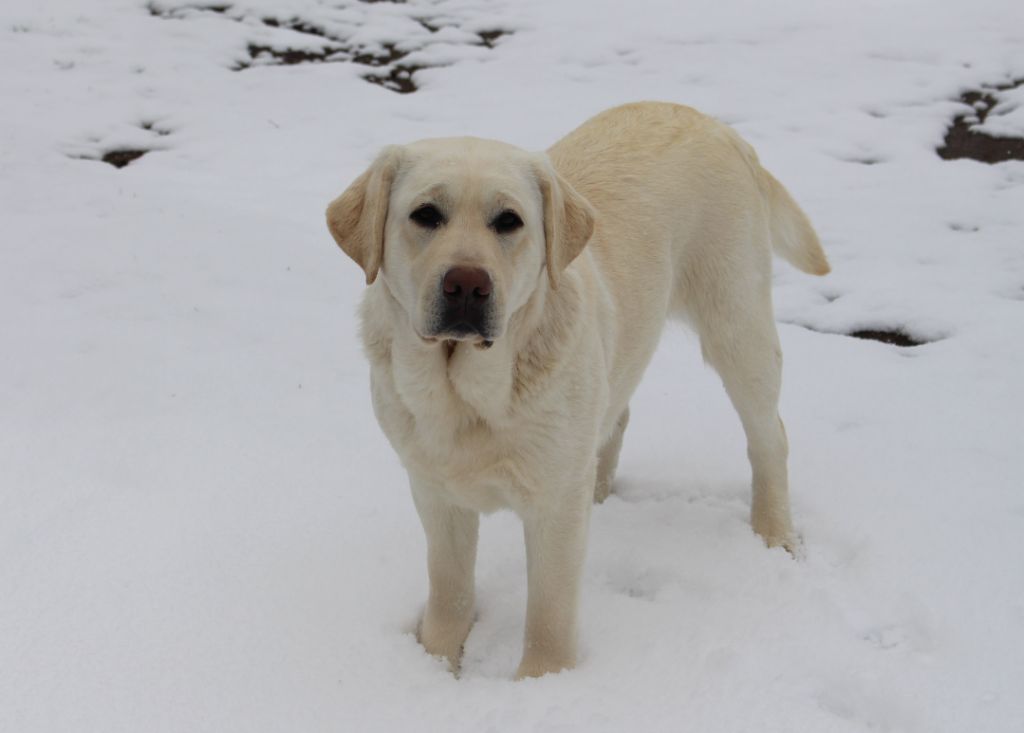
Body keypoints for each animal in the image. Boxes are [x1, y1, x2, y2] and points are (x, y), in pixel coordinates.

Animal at [327, 100, 831, 679]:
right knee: (617, 418)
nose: (467, 285)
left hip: (737, 327)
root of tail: (709, 121)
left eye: (509, 221)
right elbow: (449, 590)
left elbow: (548, 610)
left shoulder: (552, 509)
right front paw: (435, 663)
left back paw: (775, 534)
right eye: (426, 214)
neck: (469, 396)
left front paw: (542, 682)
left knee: (769, 436)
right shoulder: (435, 493)